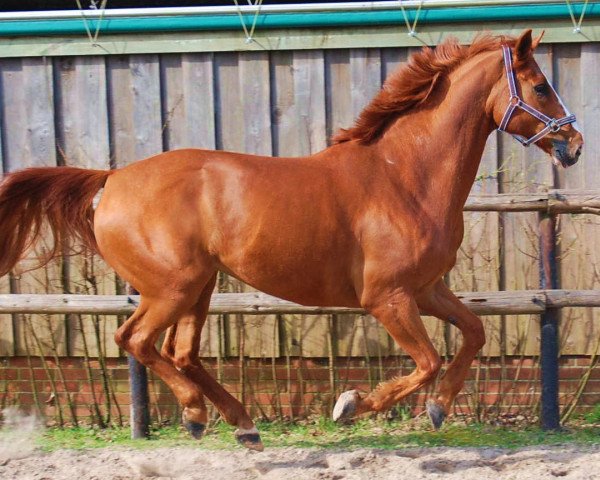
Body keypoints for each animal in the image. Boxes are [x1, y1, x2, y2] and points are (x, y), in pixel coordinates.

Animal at [0, 31, 580, 450]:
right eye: (540, 86)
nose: (573, 143)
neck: (403, 176)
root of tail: (111, 180)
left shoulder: (426, 289)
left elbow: (475, 333)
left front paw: (438, 408)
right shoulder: (387, 298)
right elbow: (427, 361)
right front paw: (349, 406)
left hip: (199, 286)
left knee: (180, 352)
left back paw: (241, 424)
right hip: (172, 287)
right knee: (136, 340)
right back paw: (197, 413)